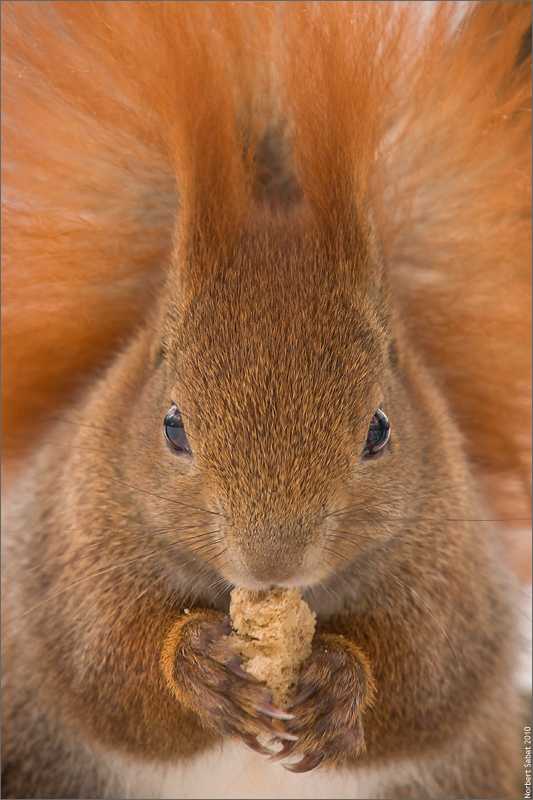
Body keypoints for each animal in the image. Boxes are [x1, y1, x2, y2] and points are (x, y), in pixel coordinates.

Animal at [2, 1, 528, 800]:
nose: (271, 562)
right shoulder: (69, 544)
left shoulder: (455, 569)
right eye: (173, 427)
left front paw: (342, 680)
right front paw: (194, 663)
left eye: (379, 429)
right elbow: (103, 665)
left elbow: (431, 676)